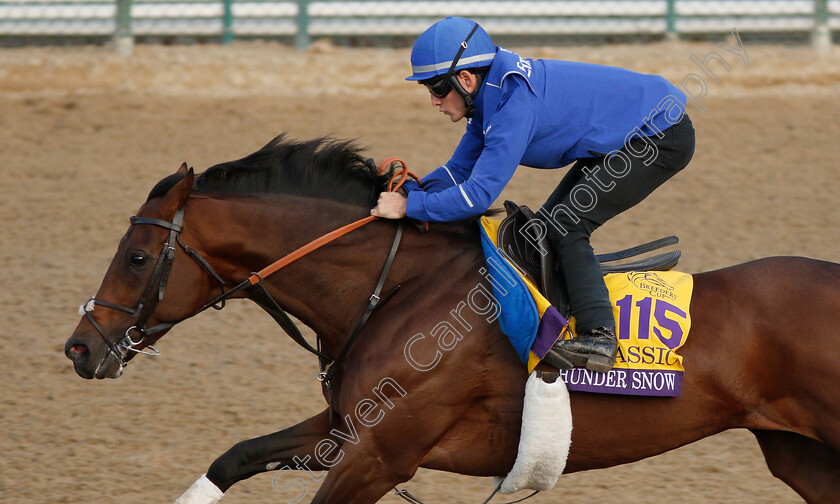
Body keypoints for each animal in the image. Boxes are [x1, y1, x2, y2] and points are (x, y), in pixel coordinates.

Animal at [64, 135, 840, 504]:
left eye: (136, 256)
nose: (79, 348)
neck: (397, 289)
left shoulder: (379, 456)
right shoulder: (349, 428)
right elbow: (237, 454)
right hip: (797, 452)